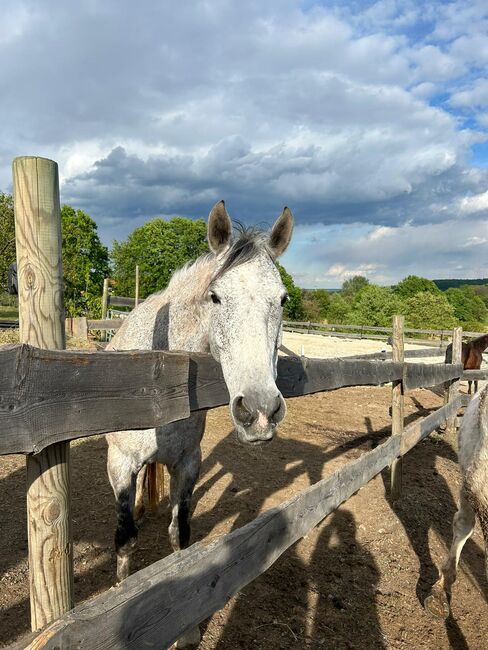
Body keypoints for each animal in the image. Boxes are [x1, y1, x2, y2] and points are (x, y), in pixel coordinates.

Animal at [107, 204, 294, 636]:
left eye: (282, 299)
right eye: (216, 297)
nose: (260, 411)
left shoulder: (188, 463)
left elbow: (181, 537)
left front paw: (186, 625)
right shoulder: (120, 465)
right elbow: (125, 539)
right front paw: (118, 598)